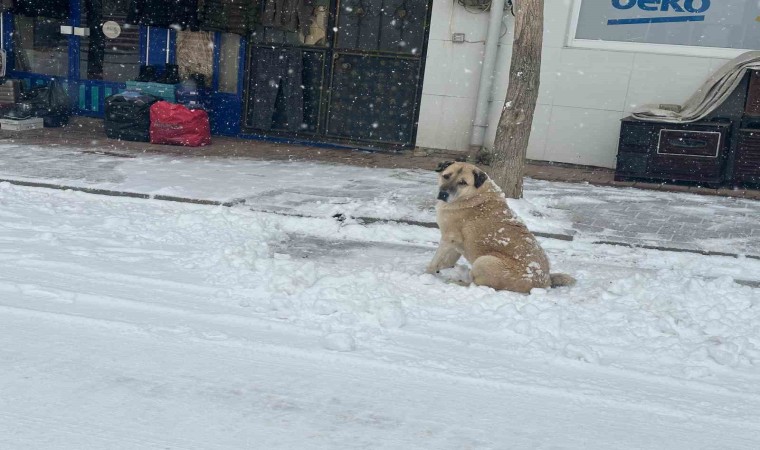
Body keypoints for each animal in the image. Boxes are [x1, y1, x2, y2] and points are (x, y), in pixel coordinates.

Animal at [428, 160, 576, 294]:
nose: (443, 194)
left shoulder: (448, 238)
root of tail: (545, 282)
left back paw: (456, 282)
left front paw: (427, 273)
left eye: (463, 182)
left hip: (484, 261)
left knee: (478, 285)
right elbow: (446, 261)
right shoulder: (455, 244)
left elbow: (434, 261)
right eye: (446, 176)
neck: (474, 194)